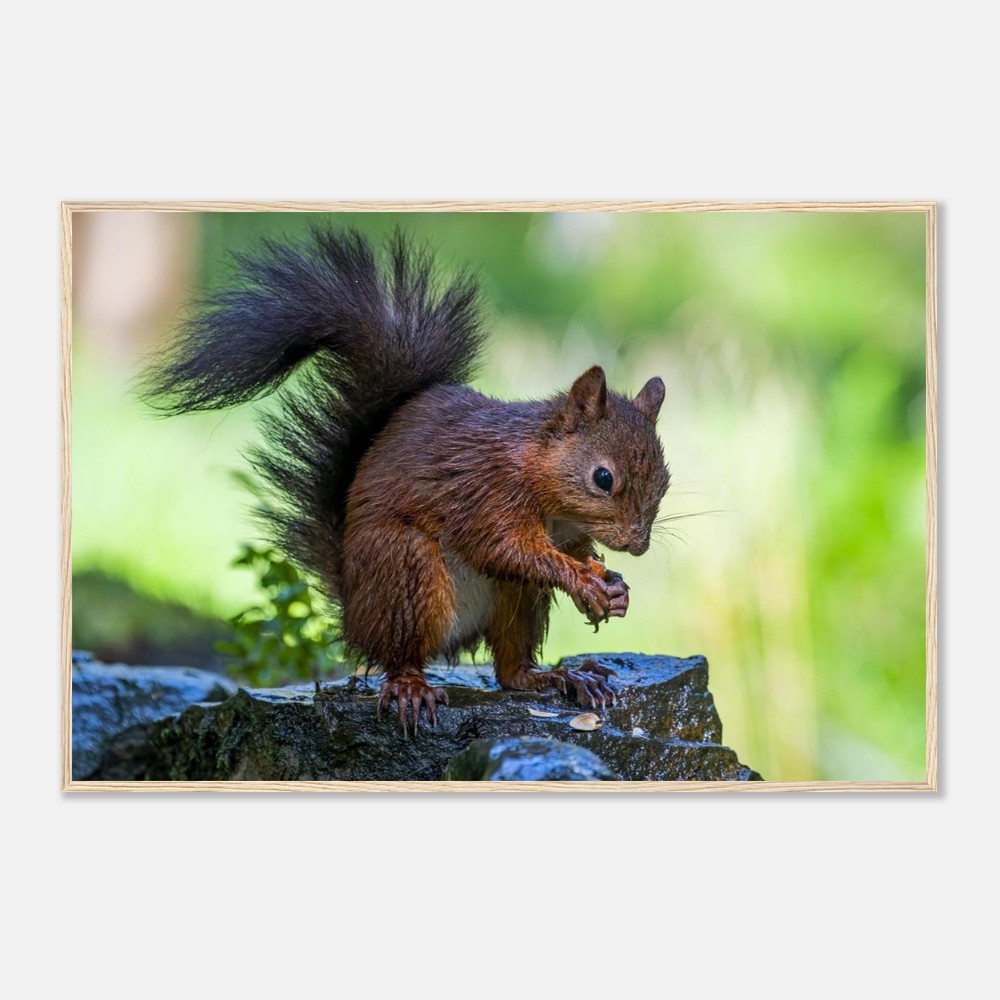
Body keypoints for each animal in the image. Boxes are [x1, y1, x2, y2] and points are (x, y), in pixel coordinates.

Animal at [143, 228, 671, 734]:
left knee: (509, 670)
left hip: (516, 600)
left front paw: (612, 586)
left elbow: (570, 552)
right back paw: (412, 686)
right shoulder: (485, 492)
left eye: (665, 480)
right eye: (602, 478)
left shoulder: (565, 530)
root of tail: (354, 611)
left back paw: (559, 676)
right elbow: (506, 548)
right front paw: (582, 580)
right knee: (400, 654)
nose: (638, 544)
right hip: (404, 571)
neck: (544, 483)